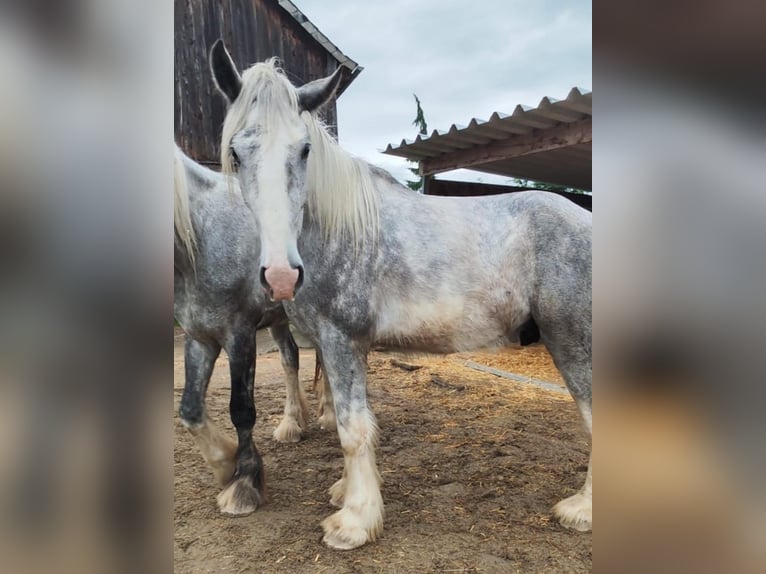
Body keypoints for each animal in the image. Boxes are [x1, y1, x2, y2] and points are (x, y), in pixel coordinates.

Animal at [173, 144, 336, 514]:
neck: (202, 236)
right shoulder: (199, 338)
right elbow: (190, 410)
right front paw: (224, 464)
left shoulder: (240, 336)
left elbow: (242, 410)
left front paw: (244, 482)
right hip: (278, 319)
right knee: (291, 358)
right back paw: (292, 423)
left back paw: (329, 414)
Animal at [209, 39, 592, 549]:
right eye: (237, 152)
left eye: (304, 149)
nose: (281, 275)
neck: (337, 229)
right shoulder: (344, 347)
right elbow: (352, 422)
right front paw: (347, 493)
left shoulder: (342, 340)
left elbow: (352, 429)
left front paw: (355, 521)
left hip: (571, 341)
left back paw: (582, 510)